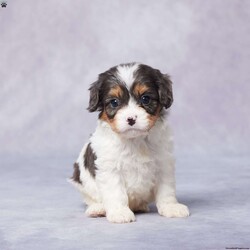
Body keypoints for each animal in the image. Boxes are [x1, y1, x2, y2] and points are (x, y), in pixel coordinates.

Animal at [69, 62, 188, 223]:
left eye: (145, 99)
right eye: (114, 102)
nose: (131, 119)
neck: (134, 140)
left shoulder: (164, 164)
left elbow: (166, 190)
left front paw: (171, 207)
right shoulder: (110, 169)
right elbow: (116, 192)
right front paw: (119, 212)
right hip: (83, 183)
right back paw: (98, 209)